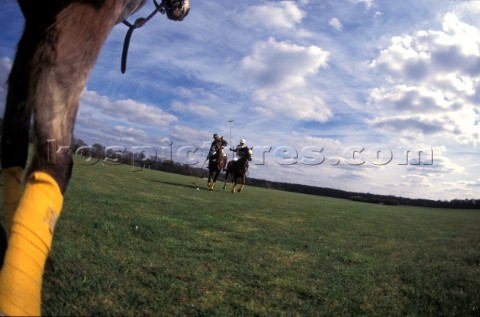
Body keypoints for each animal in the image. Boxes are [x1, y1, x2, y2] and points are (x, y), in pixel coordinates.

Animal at [0, 0, 190, 314]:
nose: (183, 11)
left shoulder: (36, 29)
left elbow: (13, 146)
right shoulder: (85, 20)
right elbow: (56, 163)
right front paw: (18, 296)